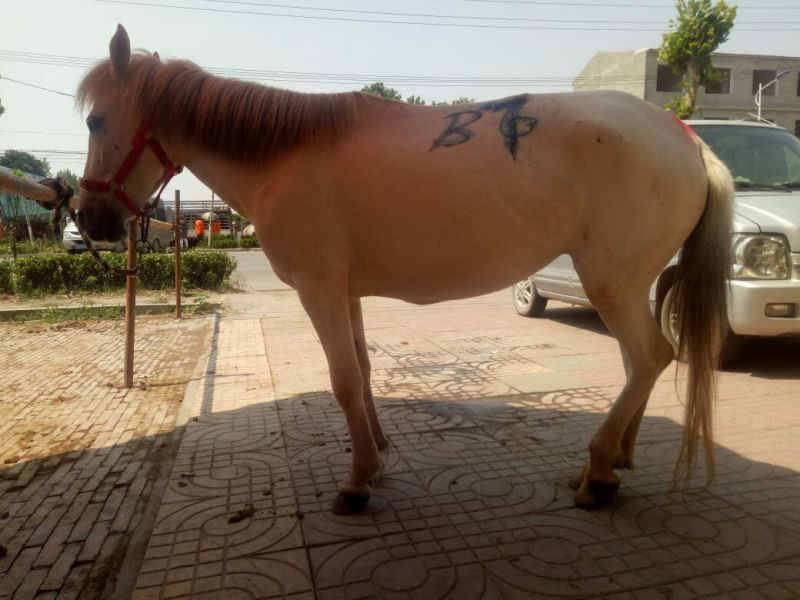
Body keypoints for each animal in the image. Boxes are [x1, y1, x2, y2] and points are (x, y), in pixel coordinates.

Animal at [76, 25, 733, 514]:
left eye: (94, 122)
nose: (89, 218)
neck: (284, 157)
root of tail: (688, 142)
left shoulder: (318, 290)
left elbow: (342, 379)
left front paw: (356, 480)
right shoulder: (346, 291)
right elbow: (363, 371)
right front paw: (379, 455)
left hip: (611, 282)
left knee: (650, 356)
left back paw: (598, 473)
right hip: (627, 285)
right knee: (638, 361)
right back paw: (617, 458)